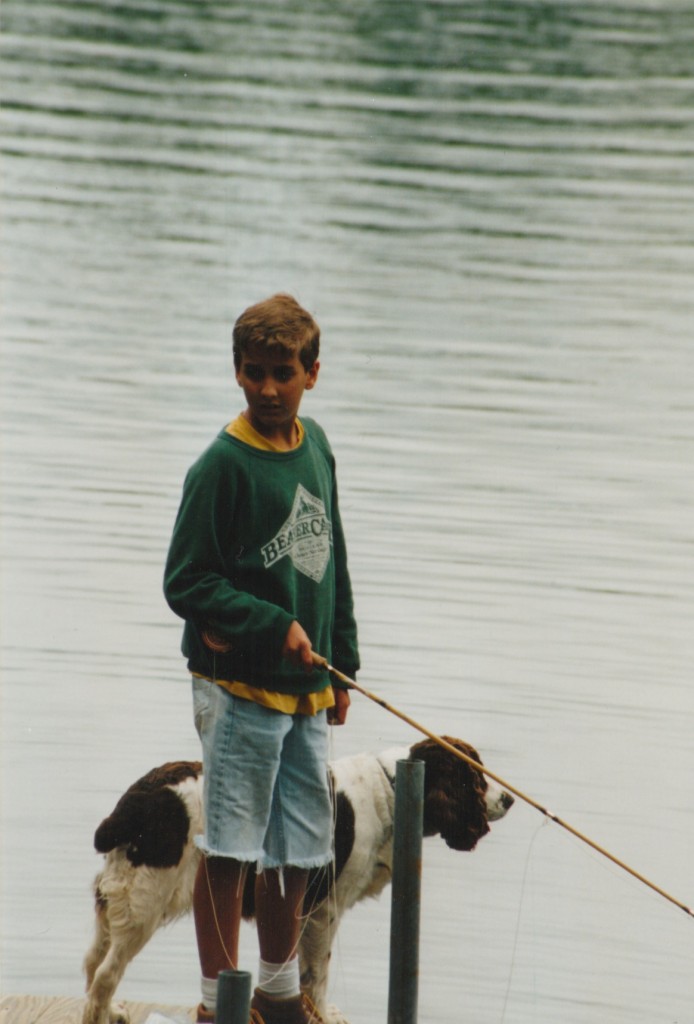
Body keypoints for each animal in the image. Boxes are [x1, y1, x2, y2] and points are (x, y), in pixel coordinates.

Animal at [82, 737, 515, 1024]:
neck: (390, 789)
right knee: (105, 974)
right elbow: (317, 974)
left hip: (119, 894)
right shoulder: (325, 909)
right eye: (475, 776)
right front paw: (321, 1013)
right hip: (147, 899)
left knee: (93, 962)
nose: (509, 799)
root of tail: (138, 799)